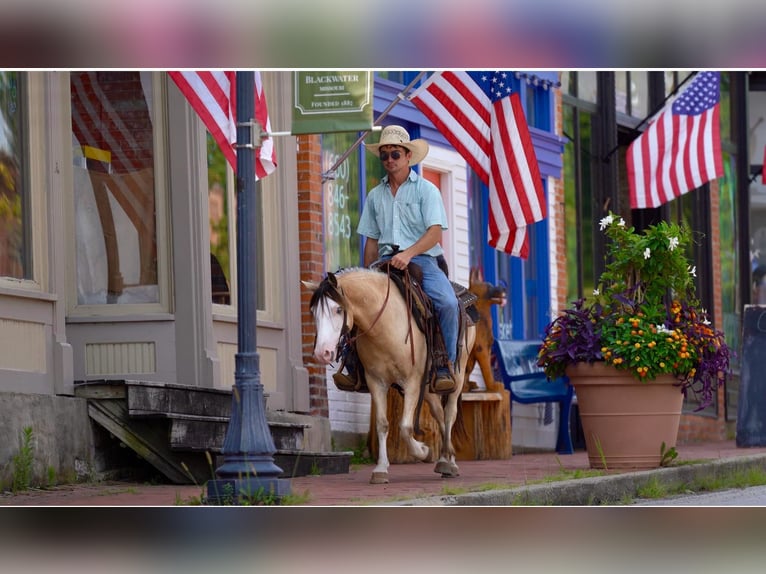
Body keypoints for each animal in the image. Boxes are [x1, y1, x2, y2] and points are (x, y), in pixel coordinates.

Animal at [304, 270, 474, 486]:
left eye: (338, 309)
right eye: (313, 312)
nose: (322, 353)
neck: (384, 325)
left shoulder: (411, 383)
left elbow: (405, 427)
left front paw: (424, 451)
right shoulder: (376, 382)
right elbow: (382, 424)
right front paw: (380, 469)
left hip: (457, 377)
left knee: (450, 413)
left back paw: (449, 463)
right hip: (428, 386)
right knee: (439, 414)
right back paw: (446, 458)